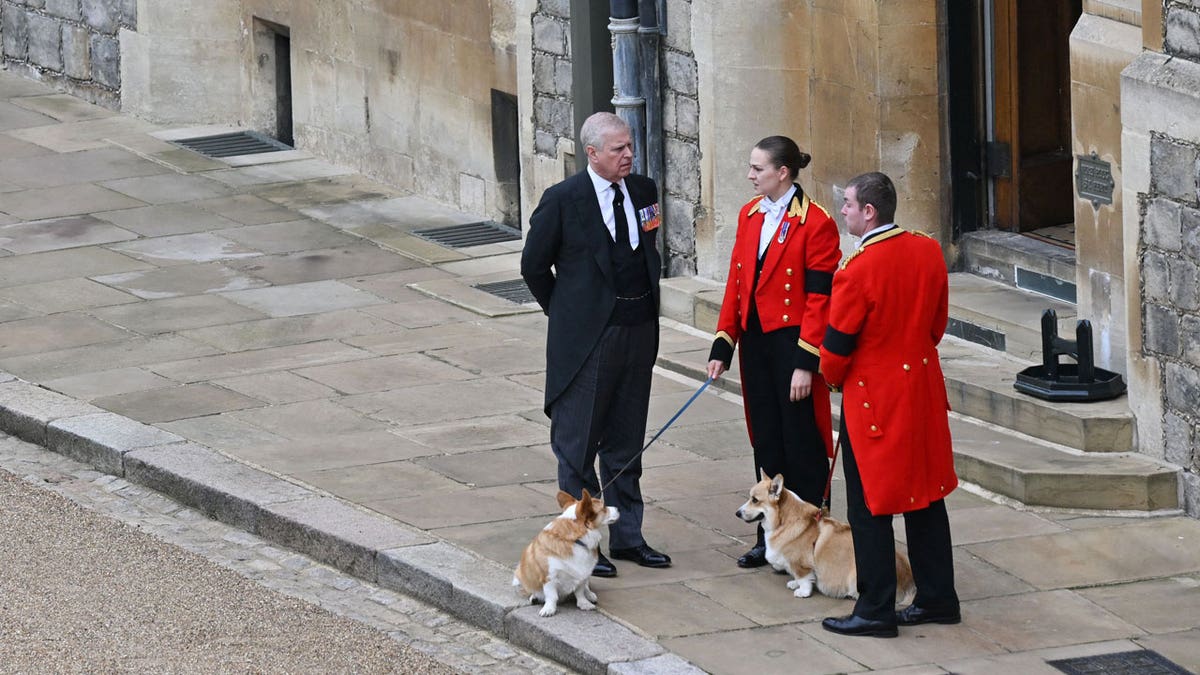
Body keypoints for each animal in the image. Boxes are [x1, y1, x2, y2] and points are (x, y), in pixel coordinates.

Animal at [729, 473, 916, 598]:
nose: (737, 513)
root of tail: (908, 580)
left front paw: (802, 592)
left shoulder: (801, 564)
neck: (784, 521)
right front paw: (794, 583)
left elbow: (804, 578)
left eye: (754, 500)